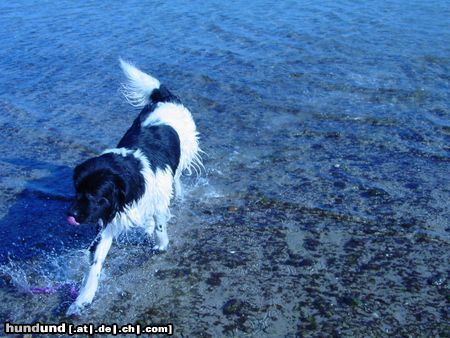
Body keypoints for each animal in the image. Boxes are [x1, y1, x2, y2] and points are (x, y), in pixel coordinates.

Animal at [65, 59, 202, 316]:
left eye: (94, 194)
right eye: (76, 190)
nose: (71, 214)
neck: (129, 174)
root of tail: (163, 98)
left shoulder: (153, 198)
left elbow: (160, 225)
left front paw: (161, 243)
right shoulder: (109, 218)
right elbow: (95, 262)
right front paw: (83, 298)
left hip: (185, 150)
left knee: (178, 176)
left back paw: (178, 196)